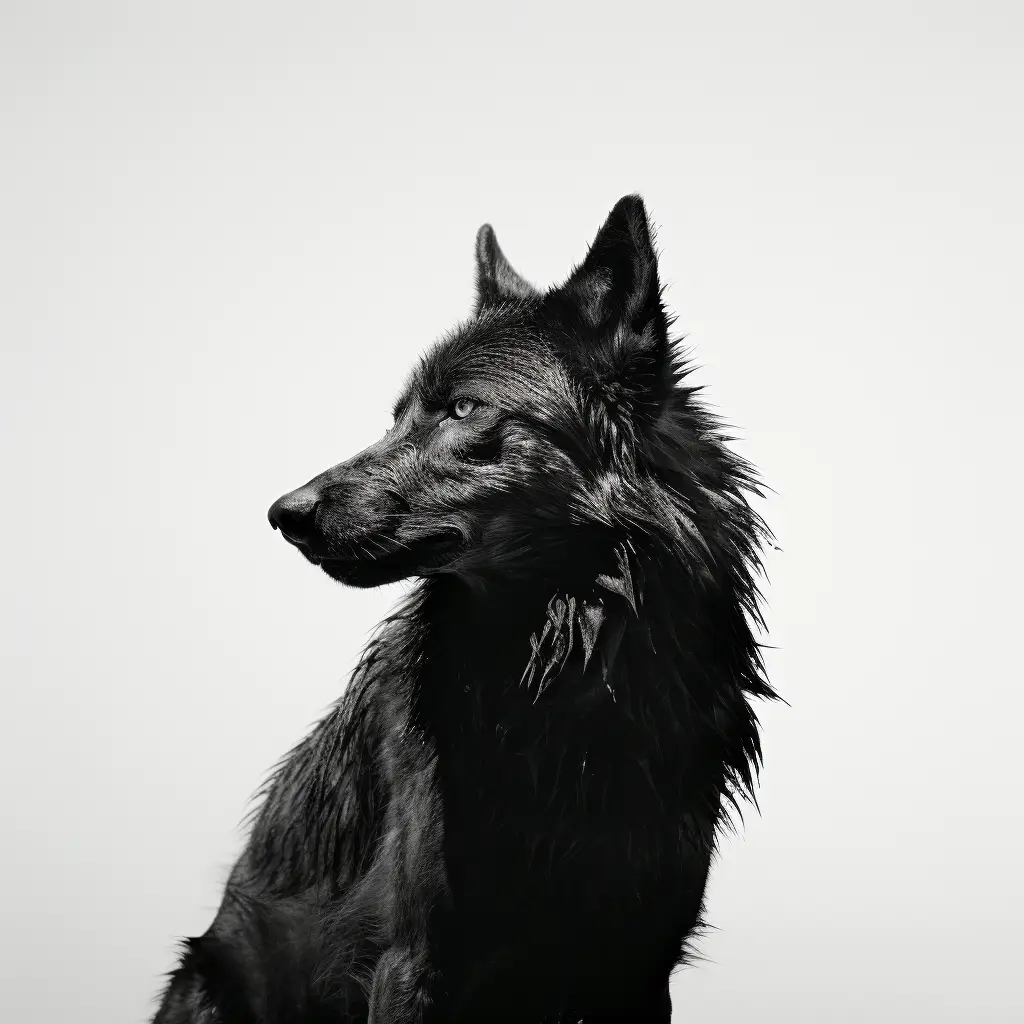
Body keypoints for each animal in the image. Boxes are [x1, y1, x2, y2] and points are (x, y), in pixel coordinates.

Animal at [153, 195, 775, 1023]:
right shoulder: (414, 963)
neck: (564, 679)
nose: (285, 514)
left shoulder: (639, 967)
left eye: (463, 408)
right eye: (394, 417)